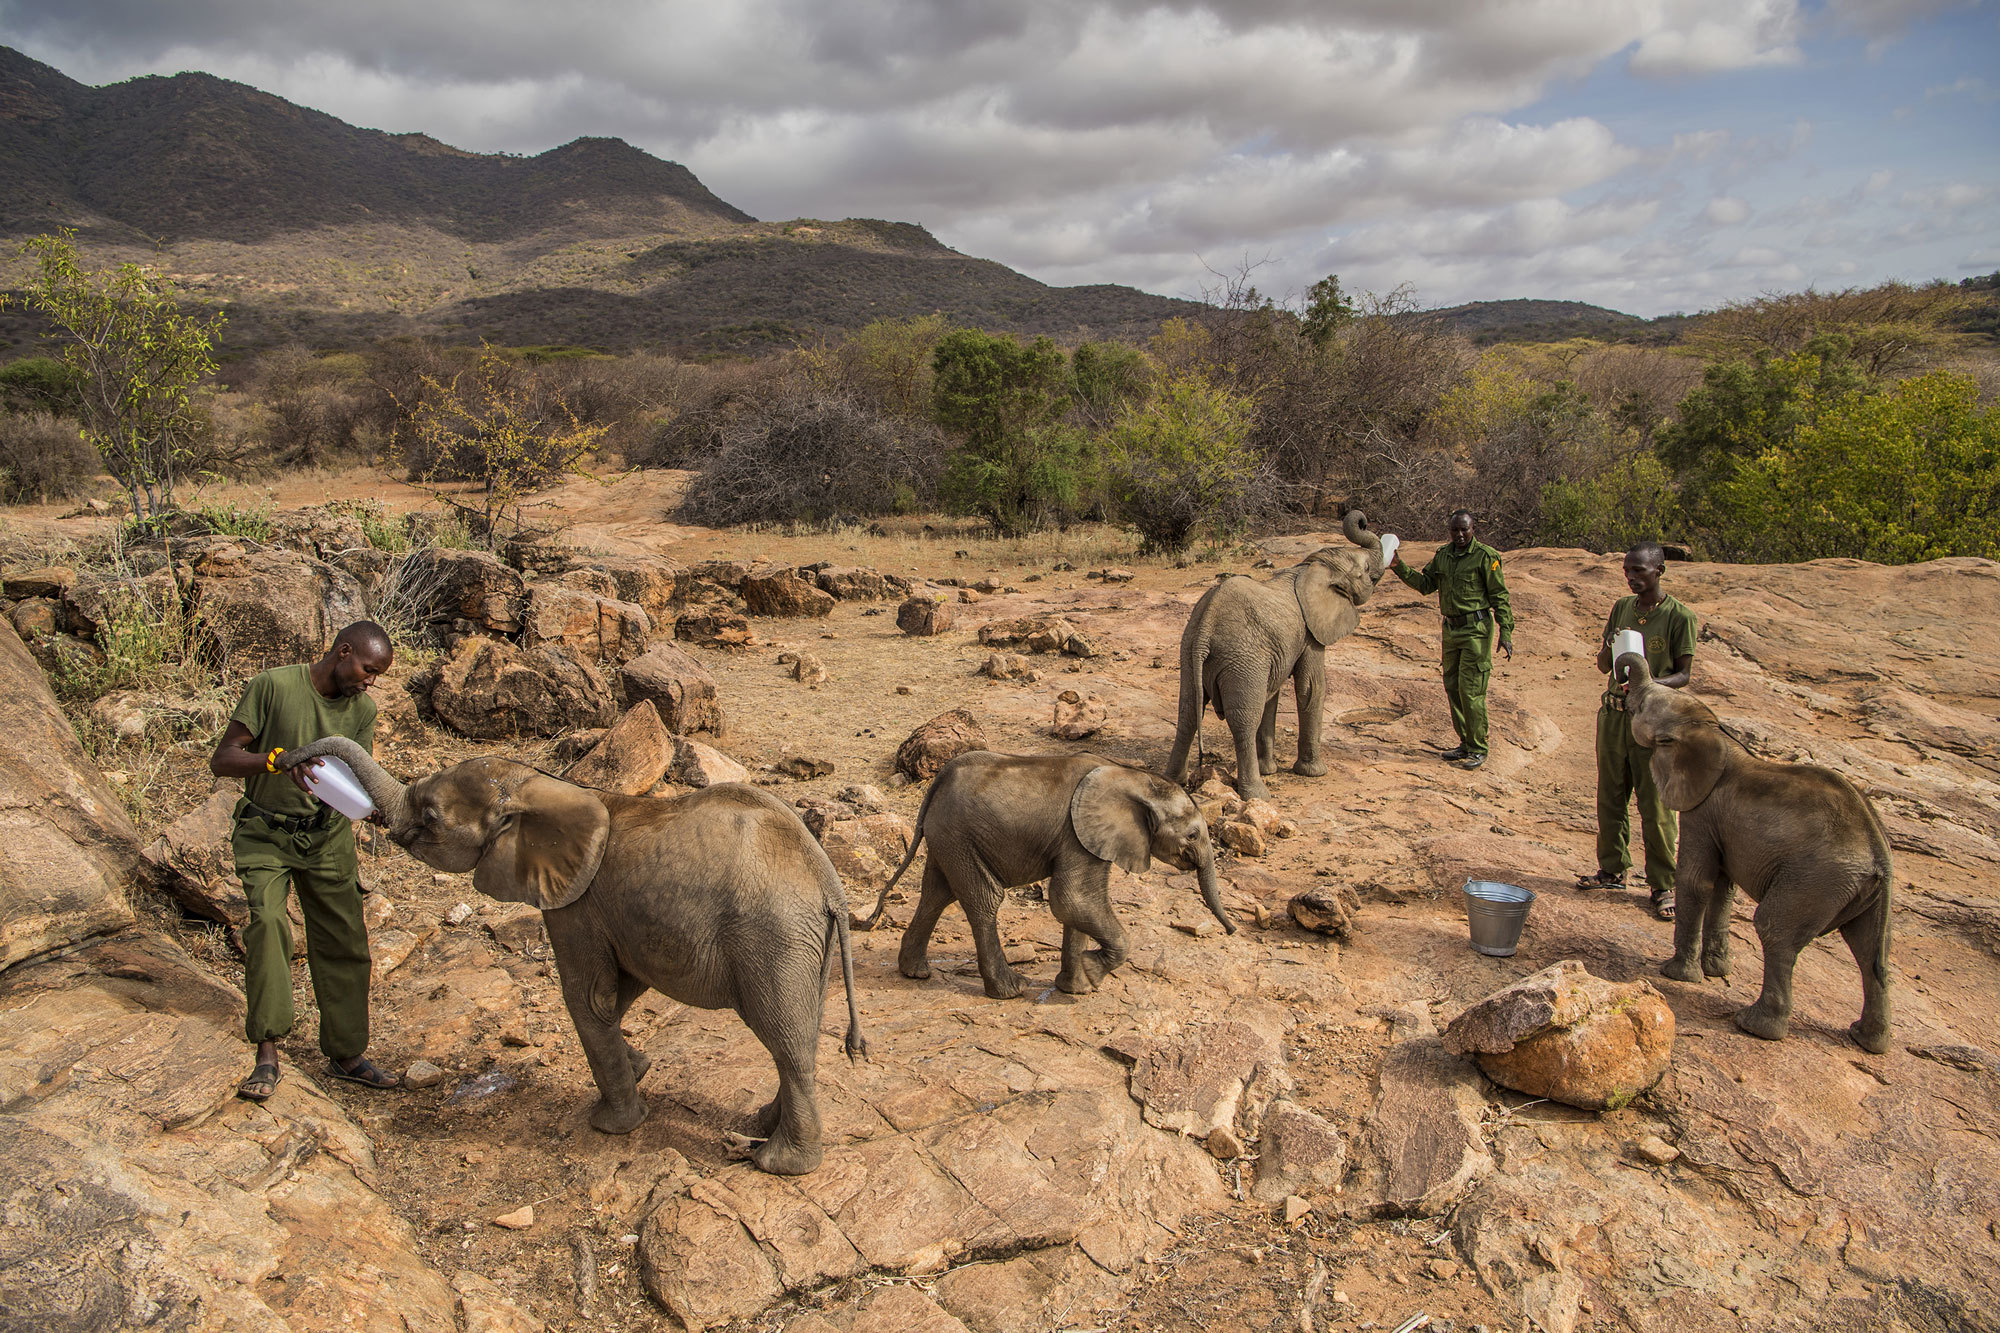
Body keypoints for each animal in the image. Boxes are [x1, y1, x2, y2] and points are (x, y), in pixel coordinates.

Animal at [278, 737, 864, 1175]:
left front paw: (610, 1125)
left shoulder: (574, 904)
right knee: (801, 1033)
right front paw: (640, 1067)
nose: (292, 764)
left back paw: (778, 1164)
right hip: (805, 944)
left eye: (429, 814)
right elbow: (620, 991)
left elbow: (590, 998)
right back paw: (763, 1126)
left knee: (785, 1041)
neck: (544, 787)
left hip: (773, 938)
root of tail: (828, 883)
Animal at [860, 751, 1234, 999]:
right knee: (983, 899)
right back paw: (1011, 990)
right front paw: (1093, 972)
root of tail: (936, 784)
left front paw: (1077, 989)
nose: (1231, 931)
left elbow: (1077, 907)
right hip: (959, 837)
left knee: (937, 893)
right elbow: (1071, 900)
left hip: (949, 839)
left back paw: (915, 973)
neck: (1131, 776)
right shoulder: (1078, 835)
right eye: (1192, 835)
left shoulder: (1087, 838)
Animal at [1166, 509, 1388, 798]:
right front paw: (1315, 773)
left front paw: (1270, 769)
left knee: (1189, 712)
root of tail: (1206, 625)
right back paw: (1257, 794)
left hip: (1192, 652)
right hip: (1242, 658)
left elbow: (1272, 696)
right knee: (1243, 721)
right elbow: (1311, 688)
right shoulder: (1311, 633)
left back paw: (1174, 781)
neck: (1310, 568)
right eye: (1366, 571)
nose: (1362, 520)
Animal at [1618, 653, 1893, 1053]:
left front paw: (1676, 974)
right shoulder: (1723, 823)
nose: (1621, 682)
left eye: (1640, 708)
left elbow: (1697, 881)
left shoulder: (1703, 809)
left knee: (1774, 927)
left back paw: (1753, 1025)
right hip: (1862, 891)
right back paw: (1866, 1040)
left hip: (1816, 879)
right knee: (1871, 950)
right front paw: (1716, 971)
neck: (1714, 731)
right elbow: (1723, 888)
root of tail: (1878, 853)